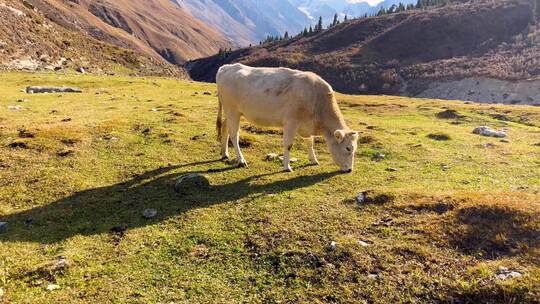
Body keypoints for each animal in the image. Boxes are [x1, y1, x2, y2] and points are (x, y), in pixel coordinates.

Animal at [215, 63, 358, 172]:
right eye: (348, 148)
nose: (349, 170)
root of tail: (226, 67)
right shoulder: (291, 122)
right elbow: (288, 144)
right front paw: (287, 166)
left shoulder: (306, 125)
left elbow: (310, 142)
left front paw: (314, 160)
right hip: (232, 110)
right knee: (234, 135)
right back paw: (241, 160)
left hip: (231, 112)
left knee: (225, 127)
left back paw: (224, 153)